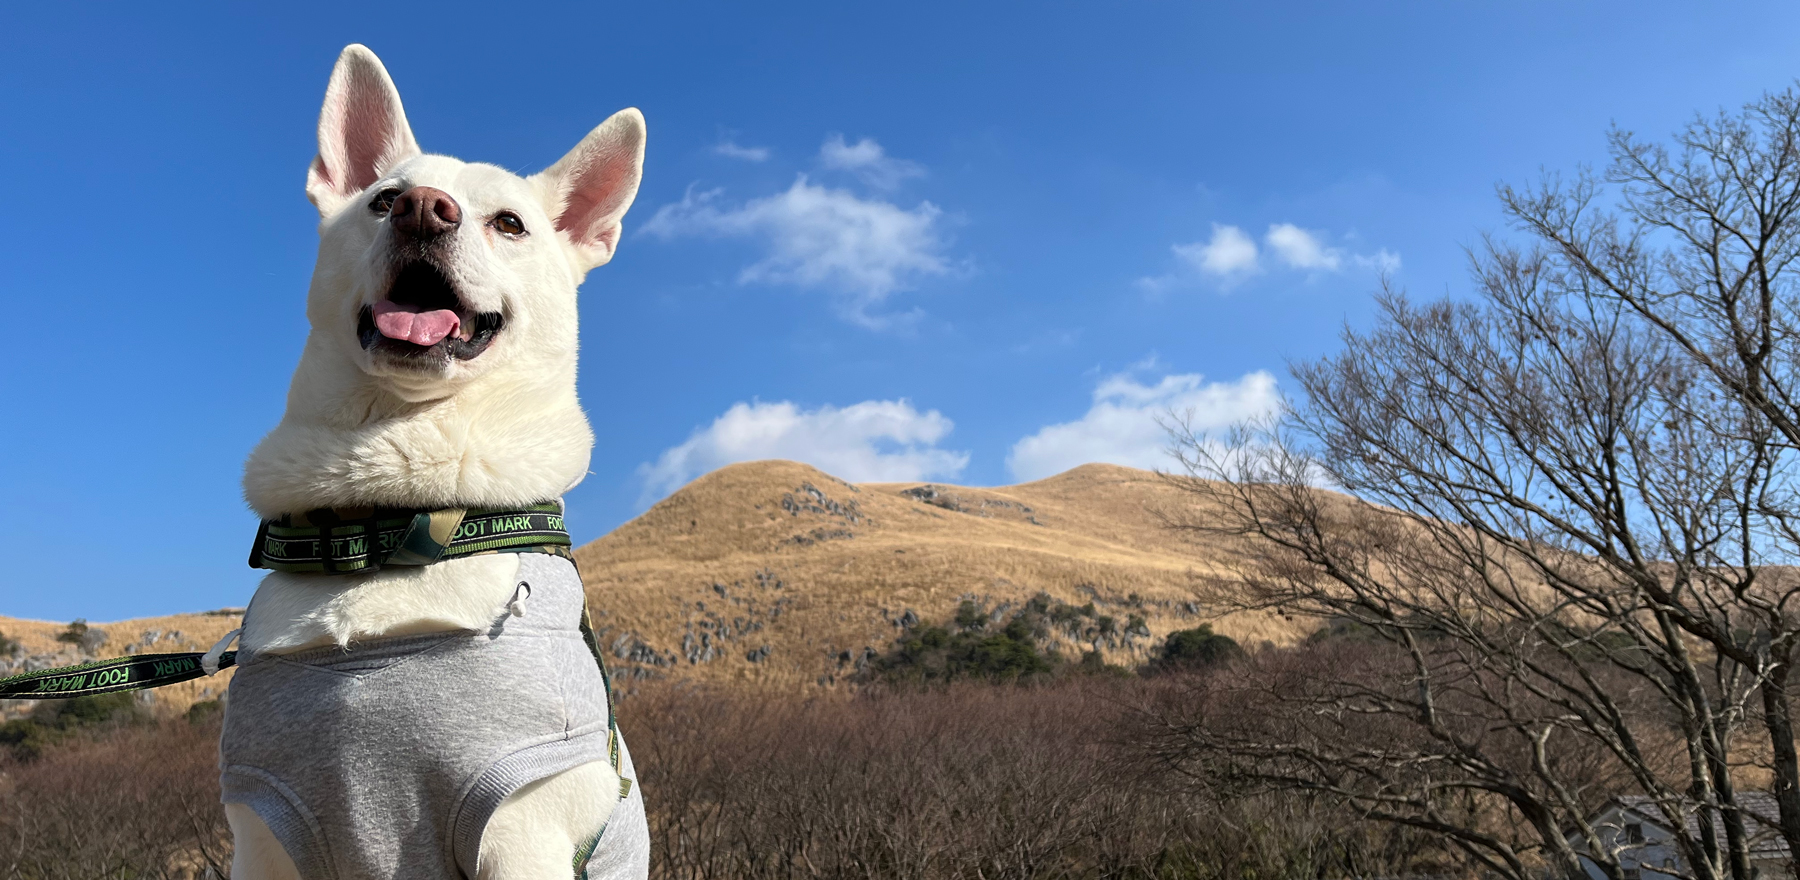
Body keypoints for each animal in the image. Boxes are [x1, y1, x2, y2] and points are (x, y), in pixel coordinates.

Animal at [221, 44, 651, 874]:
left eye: (510, 223)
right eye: (383, 201)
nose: (423, 208)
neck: (390, 521)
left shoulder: (521, 833)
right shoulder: (260, 835)